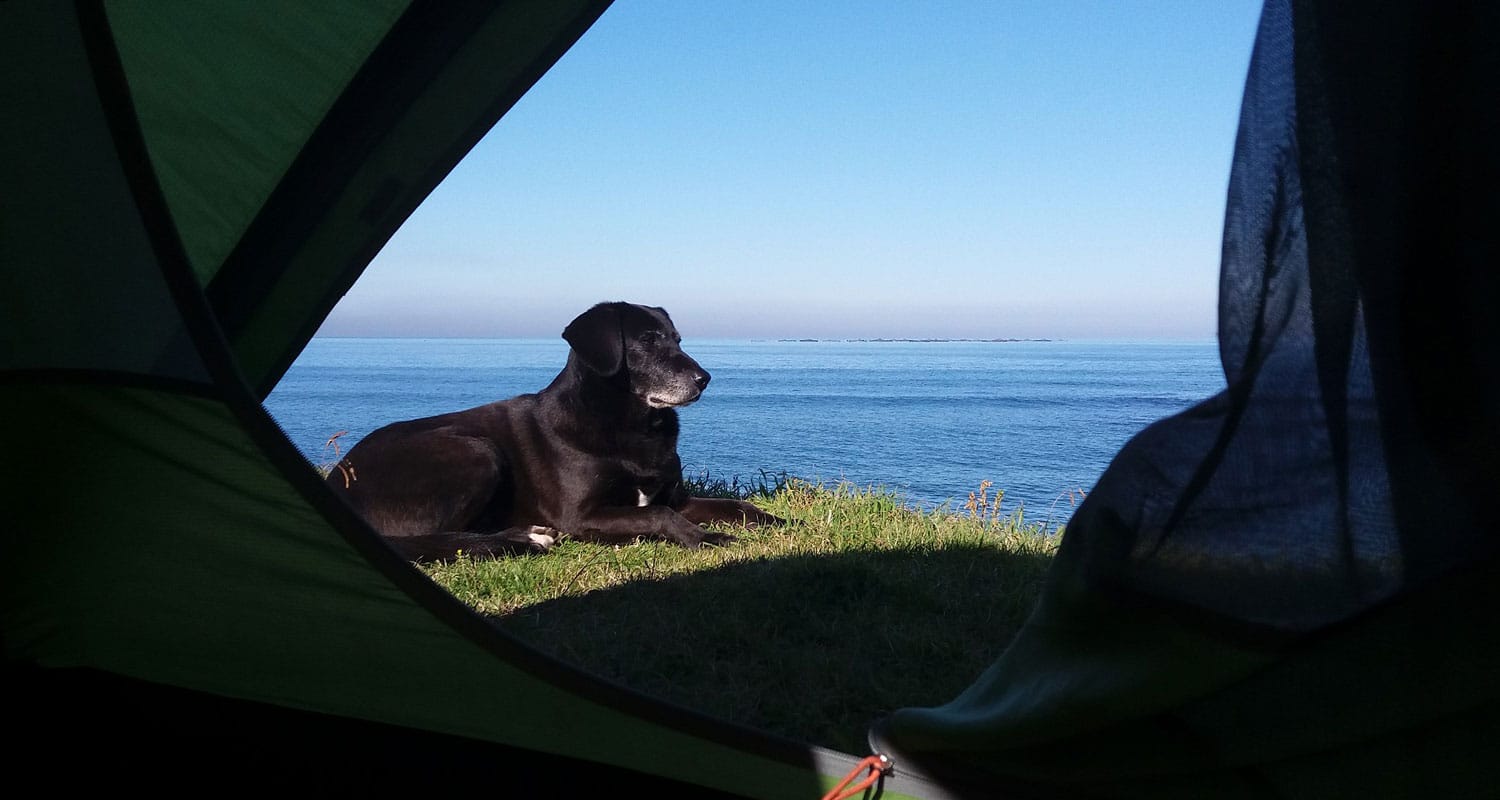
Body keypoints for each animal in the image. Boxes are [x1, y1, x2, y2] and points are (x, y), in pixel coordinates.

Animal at [319, 301, 786, 561]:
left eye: (678, 338)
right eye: (648, 341)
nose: (704, 379)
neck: (633, 426)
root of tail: (340, 481)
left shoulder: (678, 496)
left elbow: (732, 505)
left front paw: (775, 519)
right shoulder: (581, 515)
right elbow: (658, 514)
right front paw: (706, 538)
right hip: (475, 452)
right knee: (443, 540)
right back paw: (526, 538)